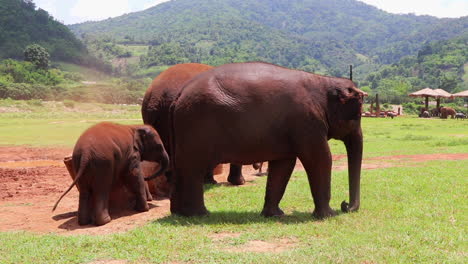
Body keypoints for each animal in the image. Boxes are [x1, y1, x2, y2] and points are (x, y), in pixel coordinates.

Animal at [171, 62, 366, 219]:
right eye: (357, 115)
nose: (345, 205)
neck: (324, 81)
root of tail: (179, 95)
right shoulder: (307, 122)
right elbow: (320, 159)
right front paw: (328, 215)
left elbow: (284, 164)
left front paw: (274, 215)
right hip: (196, 126)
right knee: (193, 169)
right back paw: (200, 214)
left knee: (180, 168)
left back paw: (180, 213)